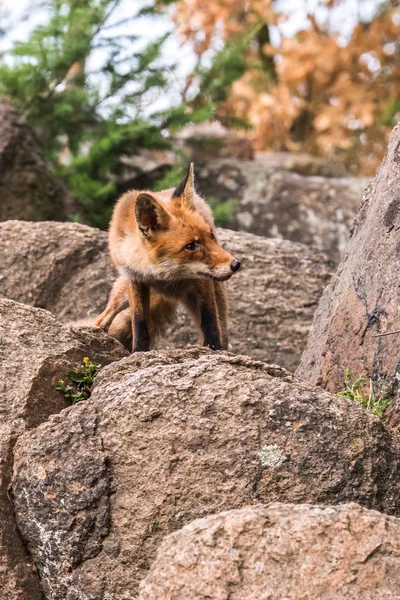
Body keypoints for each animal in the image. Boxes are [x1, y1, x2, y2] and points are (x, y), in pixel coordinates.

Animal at [95, 163, 241, 352]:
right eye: (191, 246)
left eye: (212, 236)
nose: (236, 264)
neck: (166, 276)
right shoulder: (134, 279)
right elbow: (139, 322)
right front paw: (138, 351)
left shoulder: (202, 279)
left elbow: (209, 318)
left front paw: (214, 347)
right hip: (121, 295)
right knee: (104, 317)